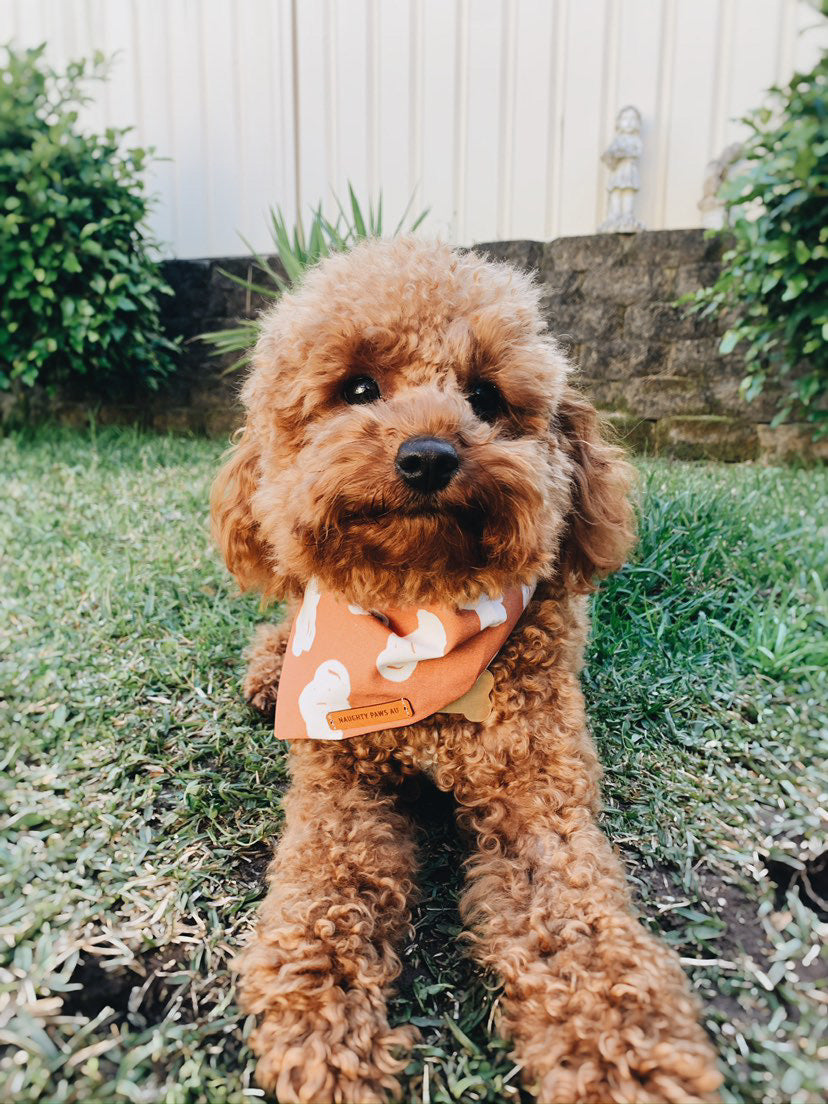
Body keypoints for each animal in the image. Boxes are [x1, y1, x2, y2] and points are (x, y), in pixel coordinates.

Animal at [214, 237, 724, 1099]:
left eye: (485, 397)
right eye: (358, 388)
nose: (427, 456)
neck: (418, 621)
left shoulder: (537, 794)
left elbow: (577, 923)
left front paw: (626, 1057)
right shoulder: (340, 782)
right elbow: (323, 891)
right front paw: (321, 1025)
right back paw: (268, 671)